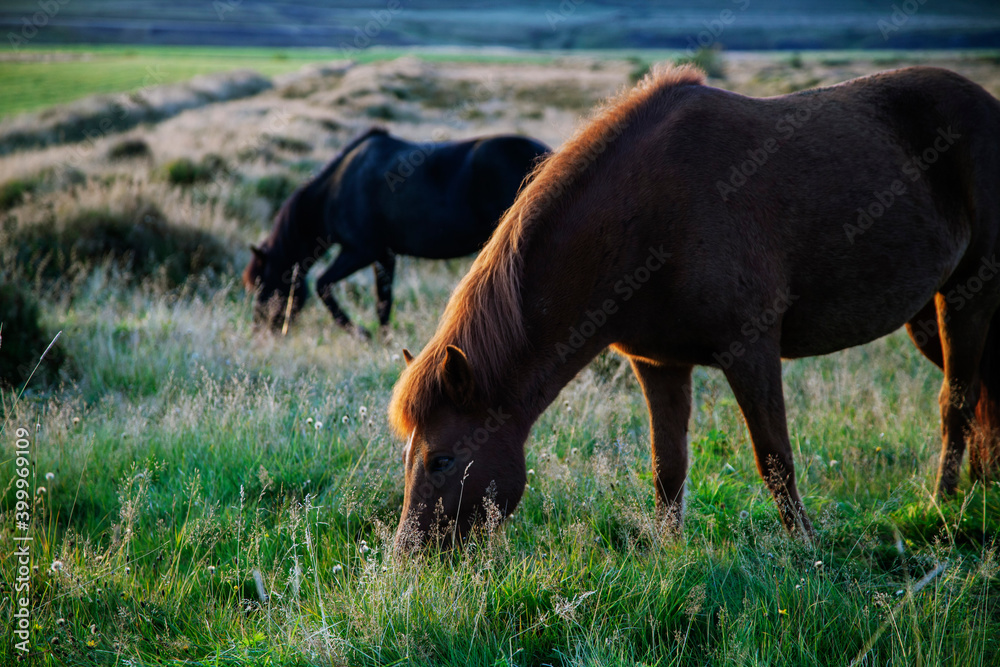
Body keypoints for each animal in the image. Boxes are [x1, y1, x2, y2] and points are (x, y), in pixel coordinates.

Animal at [242, 127, 550, 336]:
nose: (260, 331)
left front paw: (360, 333)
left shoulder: (361, 251)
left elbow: (323, 285)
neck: (337, 188)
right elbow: (383, 301)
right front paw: (385, 340)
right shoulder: (384, 256)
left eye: (263, 285)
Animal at [388, 64, 1000, 550]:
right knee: (981, 394)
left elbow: (774, 458)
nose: (410, 555)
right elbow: (668, 467)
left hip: (969, 293)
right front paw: (669, 555)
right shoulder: (658, 364)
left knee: (957, 400)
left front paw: (806, 547)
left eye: (442, 459)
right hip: (928, 313)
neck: (647, 218)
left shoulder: (750, 350)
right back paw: (982, 489)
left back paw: (943, 505)